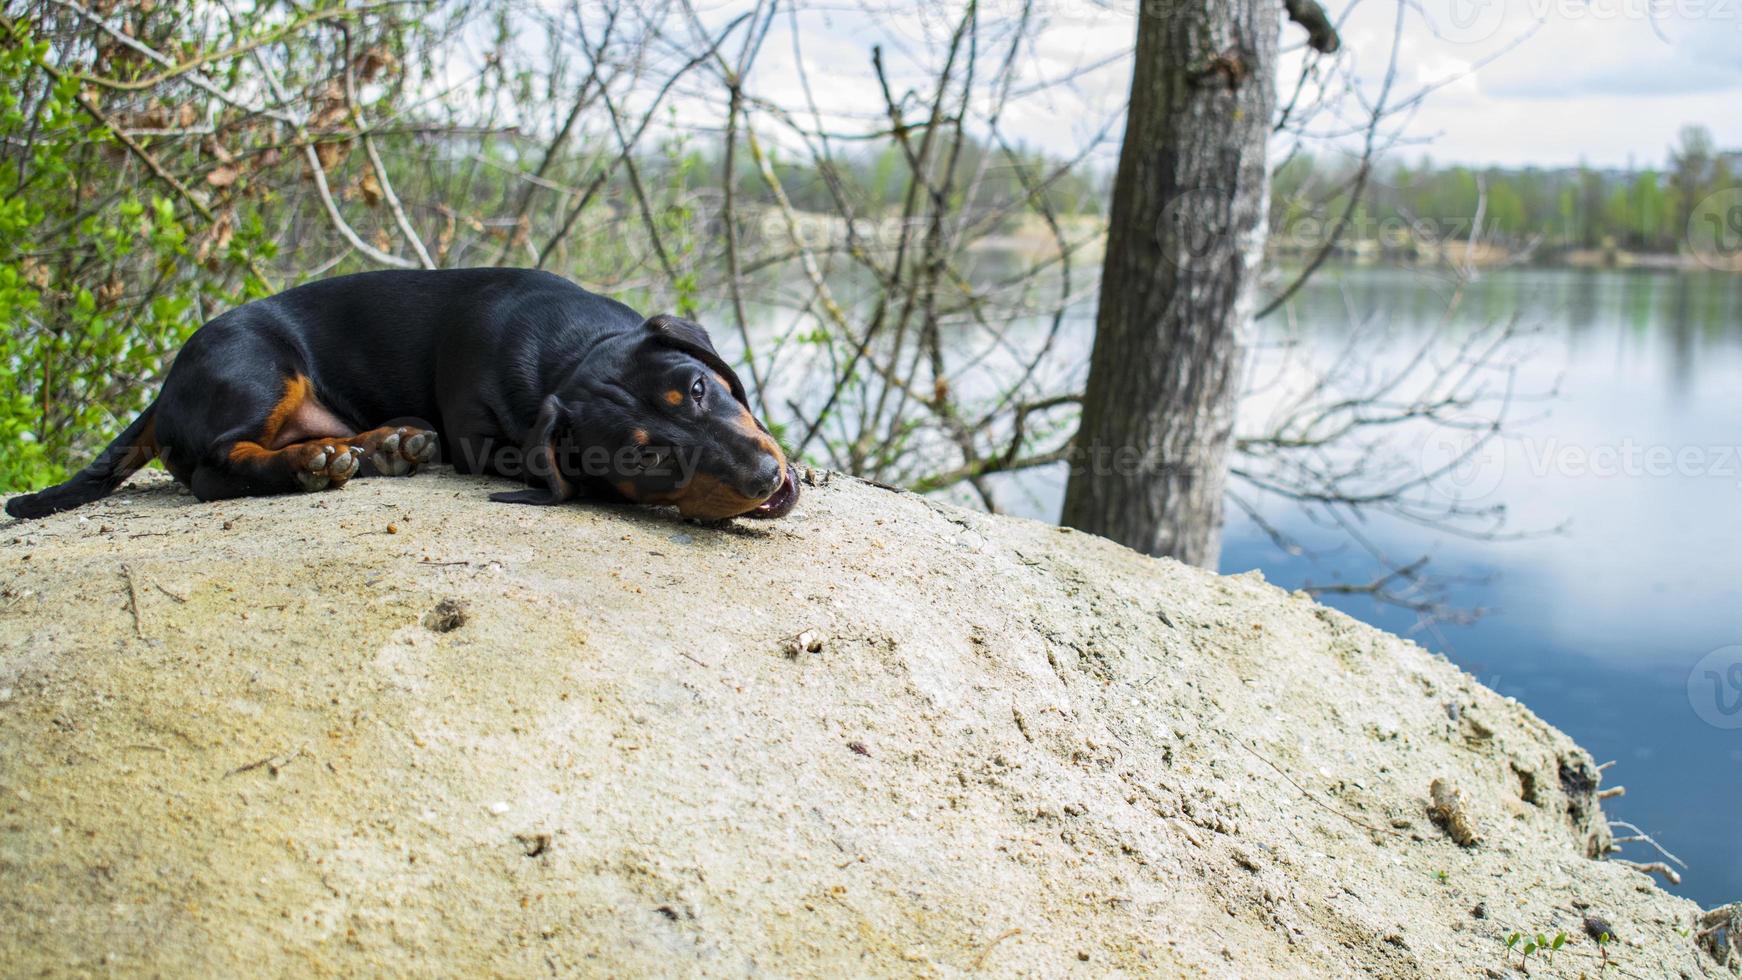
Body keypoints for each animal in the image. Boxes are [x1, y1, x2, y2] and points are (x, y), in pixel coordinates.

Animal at [0, 264, 797, 525]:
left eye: (698, 386)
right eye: (644, 459)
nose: (765, 477)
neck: (570, 355)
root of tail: (166, 385)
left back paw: (382, 446)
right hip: (259, 365)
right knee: (215, 468)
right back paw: (312, 467)